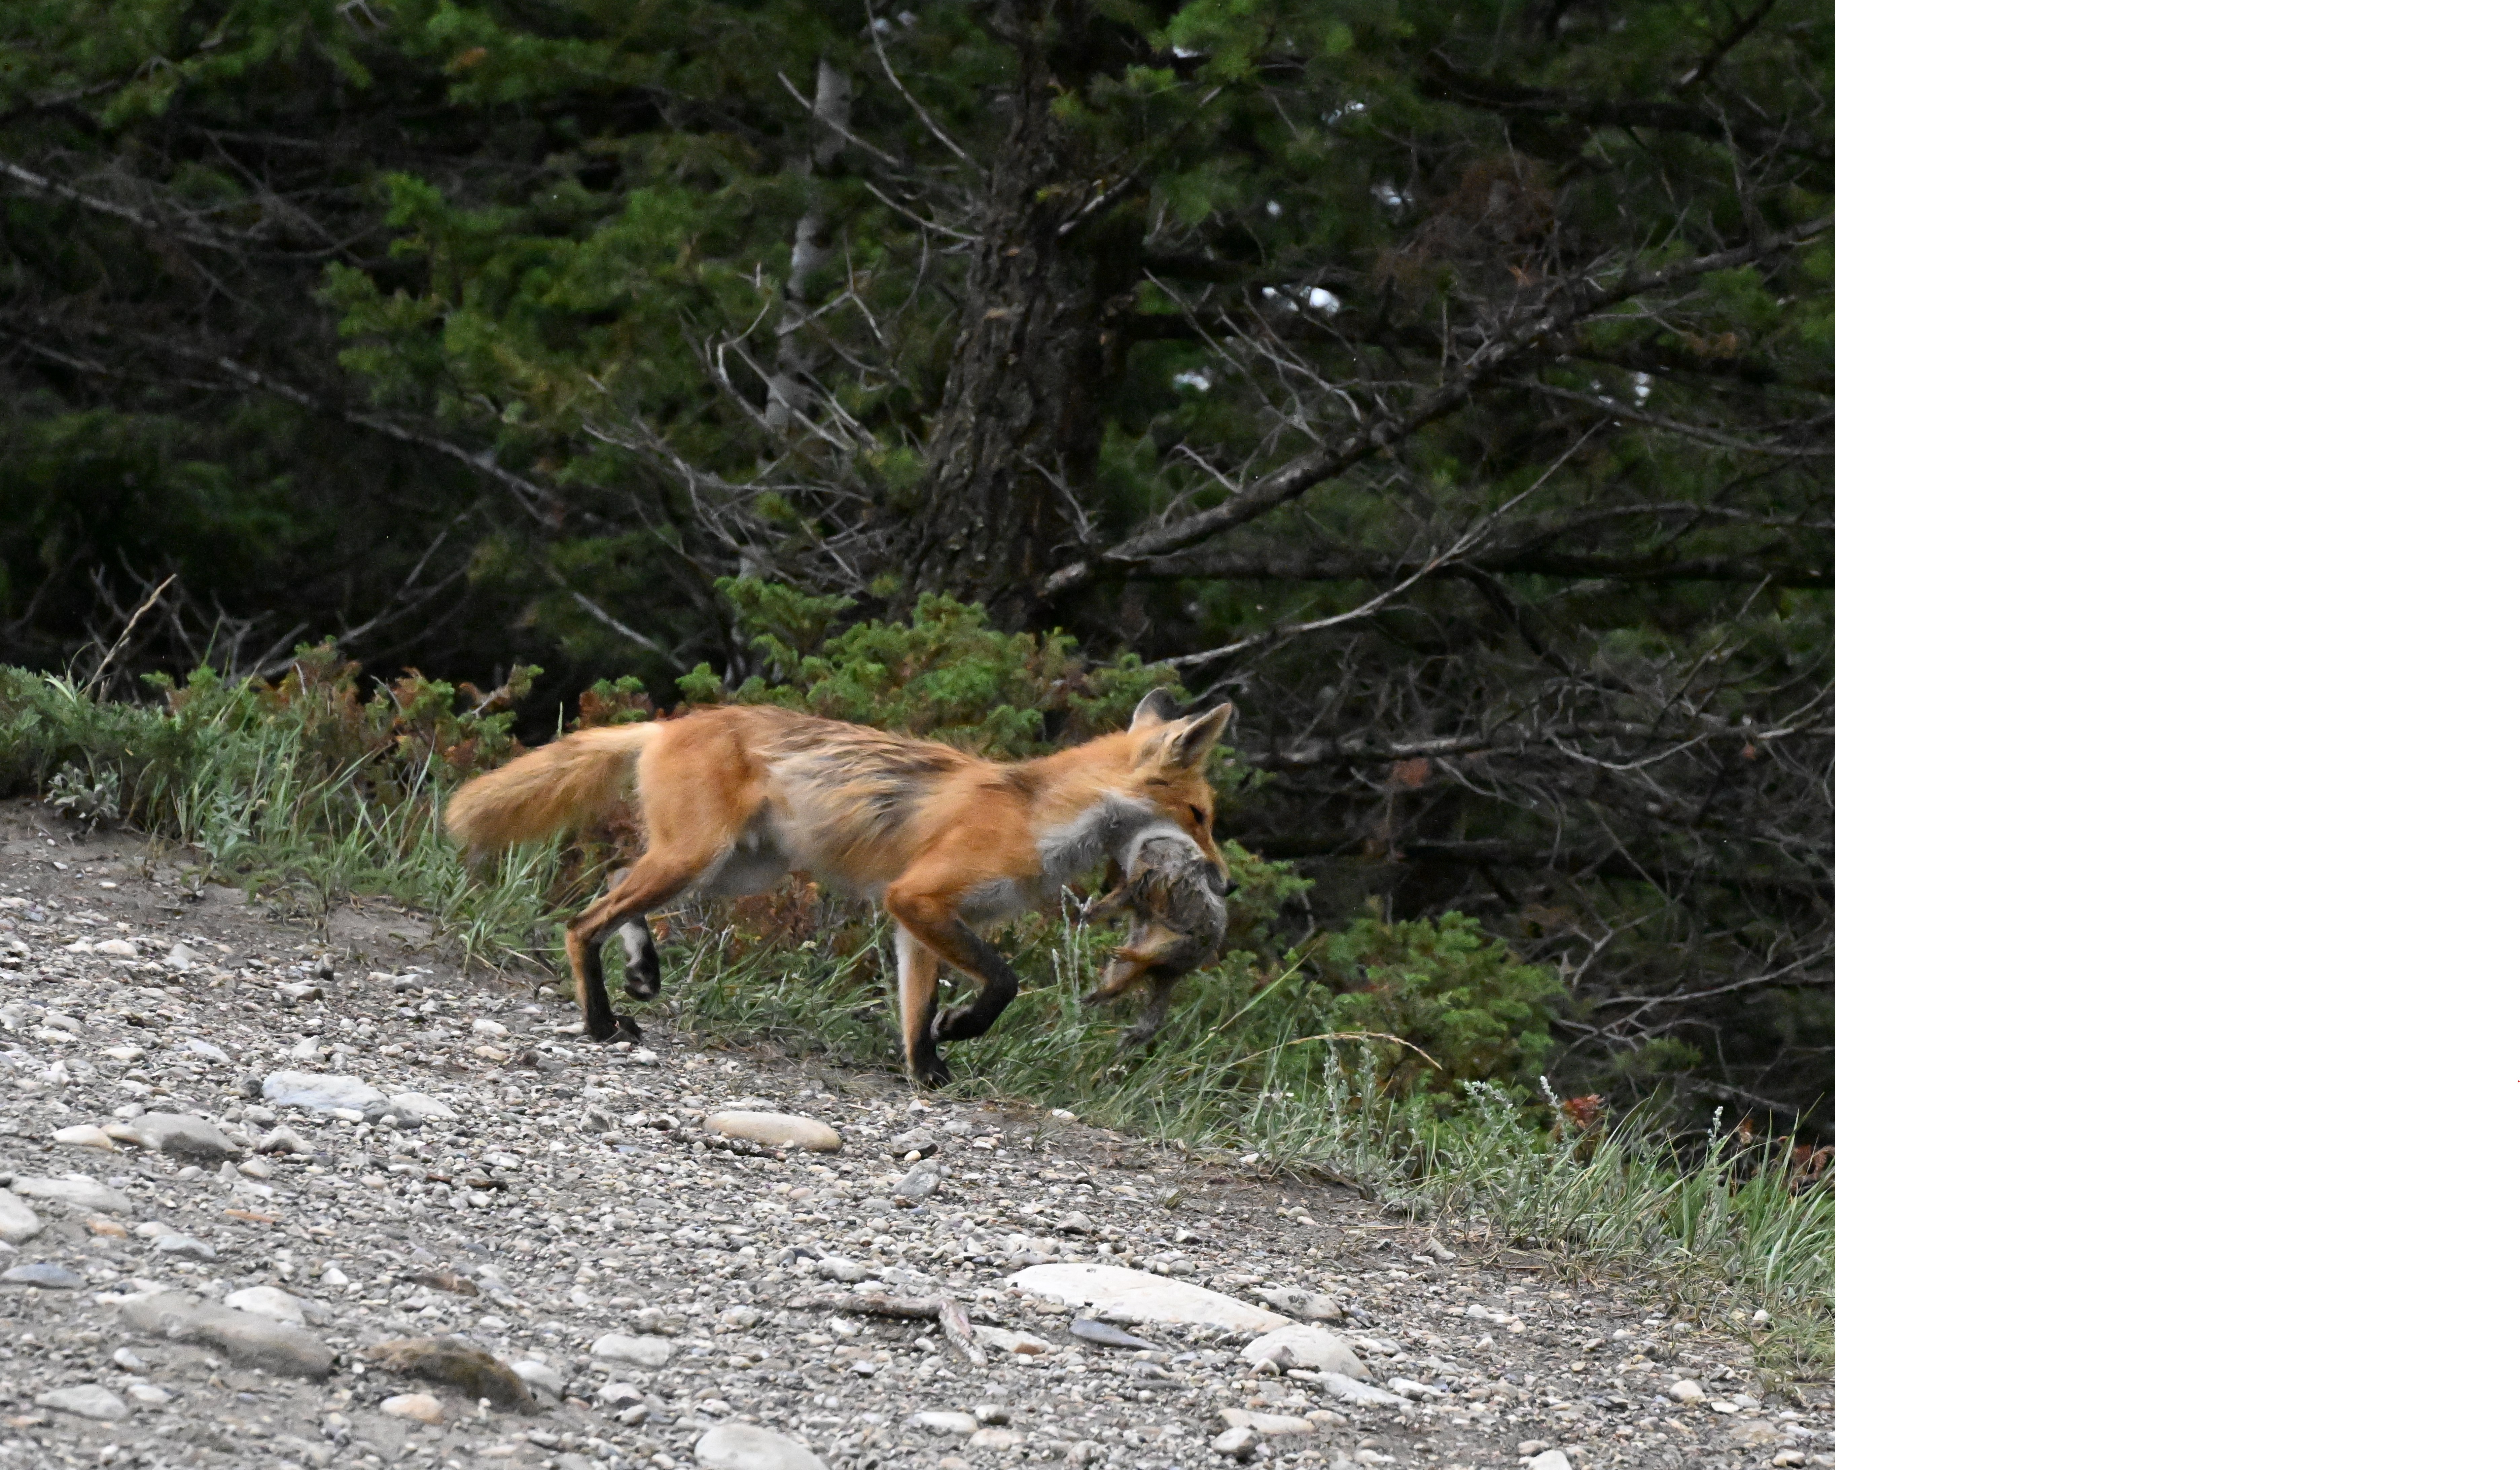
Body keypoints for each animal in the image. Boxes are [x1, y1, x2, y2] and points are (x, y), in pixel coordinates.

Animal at [458, 686, 1245, 1079]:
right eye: (1200, 816)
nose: (1229, 885)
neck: (1038, 817)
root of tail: (665, 724)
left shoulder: (923, 919)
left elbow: (913, 1010)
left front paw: (928, 1072)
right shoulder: (919, 898)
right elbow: (1003, 981)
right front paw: (961, 1031)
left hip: (729, 871)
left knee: (618, 876)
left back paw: (642, 969)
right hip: (697, 861)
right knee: (580, 921)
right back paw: (598, 1021)